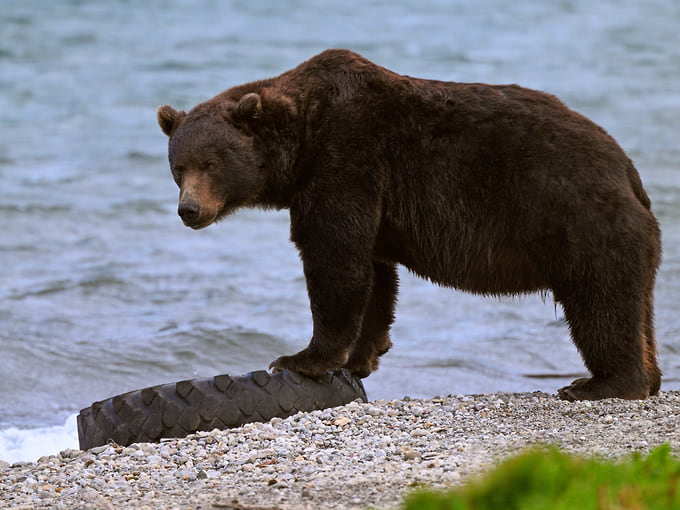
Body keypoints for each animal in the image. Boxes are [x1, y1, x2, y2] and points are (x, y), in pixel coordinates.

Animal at [157, 48, 662, 401]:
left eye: (211, 162)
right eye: (178, 167)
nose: (189, 210)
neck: (300, 140)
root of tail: (627, 169)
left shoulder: (346, 157)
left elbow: (334, 260)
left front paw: (299, 359)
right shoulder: (369, 196)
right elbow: (375, 276)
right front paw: (361, 356)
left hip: (578, 216)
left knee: (599, 301)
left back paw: (601, 383)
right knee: (637, 305)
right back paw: (650, 377)